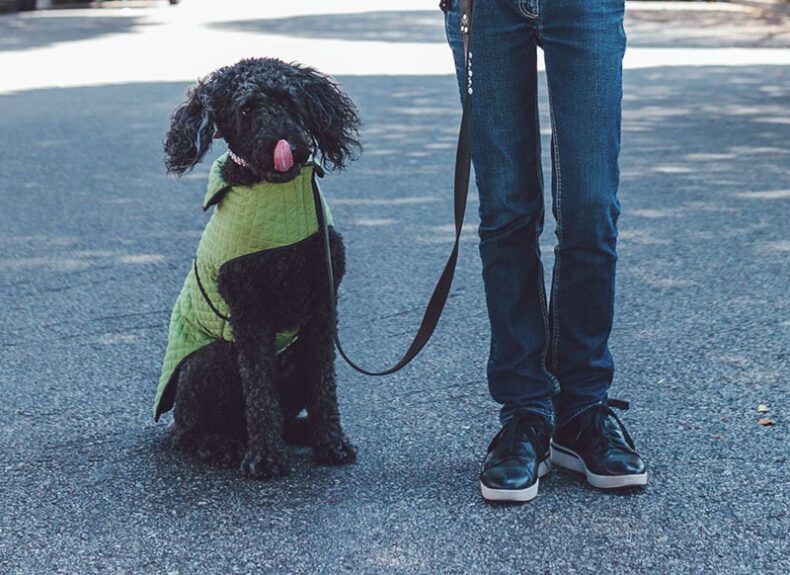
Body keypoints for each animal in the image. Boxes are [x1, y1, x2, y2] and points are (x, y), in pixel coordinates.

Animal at [164, 59, 362, 482]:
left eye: (289, 99)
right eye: (246, 109)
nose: (293, 146)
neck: (278, 199)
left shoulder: (322, 309)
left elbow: (325, 386)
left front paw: (331, 443)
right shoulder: (249, 315)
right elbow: (259, 392)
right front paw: (265, 458)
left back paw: (300, 429)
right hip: (211, 361)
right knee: (189, 432)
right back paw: (222, 445)